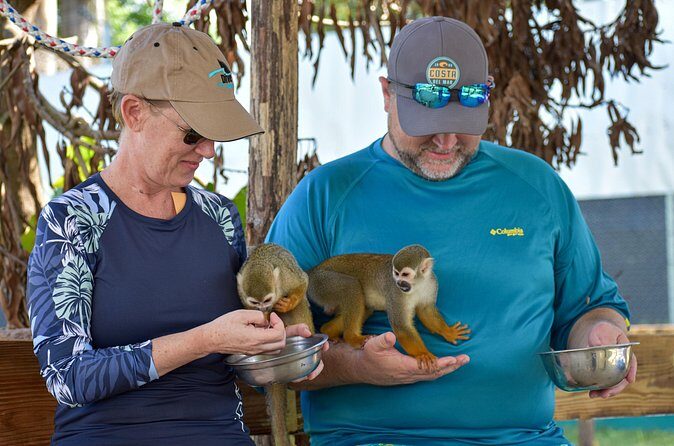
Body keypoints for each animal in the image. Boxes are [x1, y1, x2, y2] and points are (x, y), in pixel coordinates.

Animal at [236, 243, 314, 446]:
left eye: (267, 300)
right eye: (255, 302)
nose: (263, 308)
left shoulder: (288, 276)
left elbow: (303, 282)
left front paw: (288, 303)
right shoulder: (242, 293)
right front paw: (261, 319)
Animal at [307, 244, 470, 372]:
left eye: (405, 274)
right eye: (396, 274)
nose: (399, 283)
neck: (417, 284)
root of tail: (313, 270)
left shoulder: (431, 283)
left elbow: (426, 311)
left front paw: (449, 332)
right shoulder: (395, 293)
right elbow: (401, 325)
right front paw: (423, 354)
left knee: (364, 306)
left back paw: (329, 330)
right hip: (323, 282)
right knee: (350, 286)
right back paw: (352, 337)